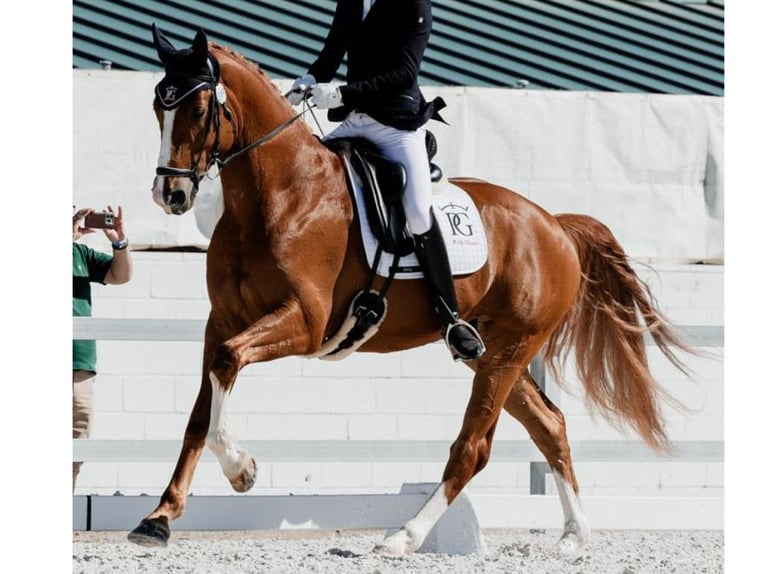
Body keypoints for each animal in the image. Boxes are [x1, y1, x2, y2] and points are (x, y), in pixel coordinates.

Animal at [129, 27, 692, 560]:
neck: (280, 195)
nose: (169, 195)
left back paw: (404, 536)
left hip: (508, 351)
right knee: (549, 425)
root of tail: (553, 224)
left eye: (198, 108)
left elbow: (227, 366)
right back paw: (575, 536)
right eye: (158, 106)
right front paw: (159, 518)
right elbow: (200, 413)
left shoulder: (305, 323)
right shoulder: (221, 320)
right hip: (493, 352)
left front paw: (241, 470)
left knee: (473, 448)